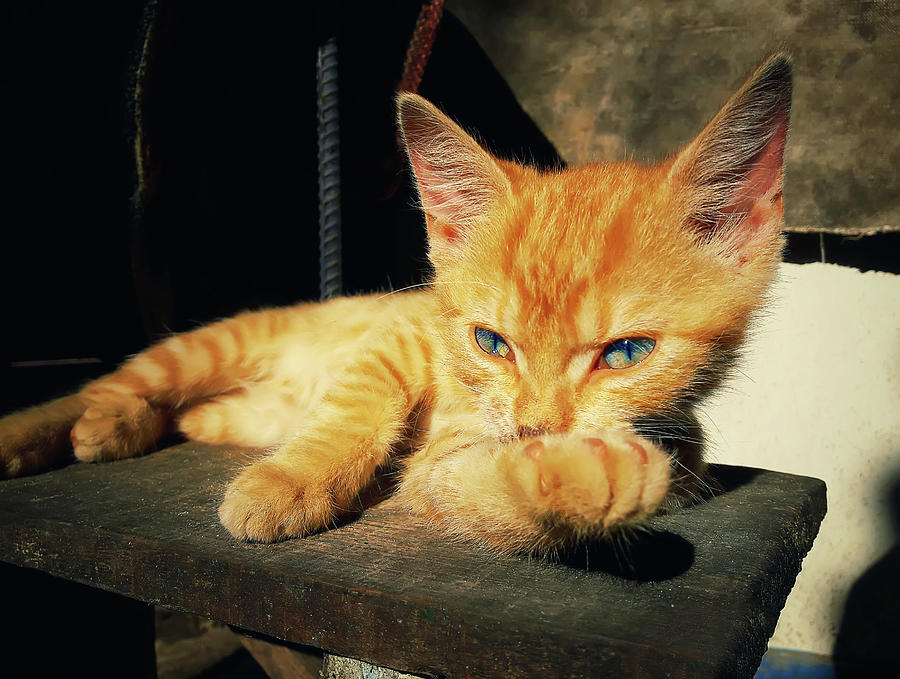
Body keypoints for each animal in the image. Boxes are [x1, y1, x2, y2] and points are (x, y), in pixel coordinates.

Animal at [0, 55, 788, 556]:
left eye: (627, 353)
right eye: (491, 342)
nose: (535, 425)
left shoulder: (441, 470)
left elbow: (484, 500)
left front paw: (591, 477)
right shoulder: (402, 330)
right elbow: (359, 403)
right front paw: (287, 481)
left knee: (173, 410)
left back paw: (124, 427)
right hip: (209, 345)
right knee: (101, 385)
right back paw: (56, 428)